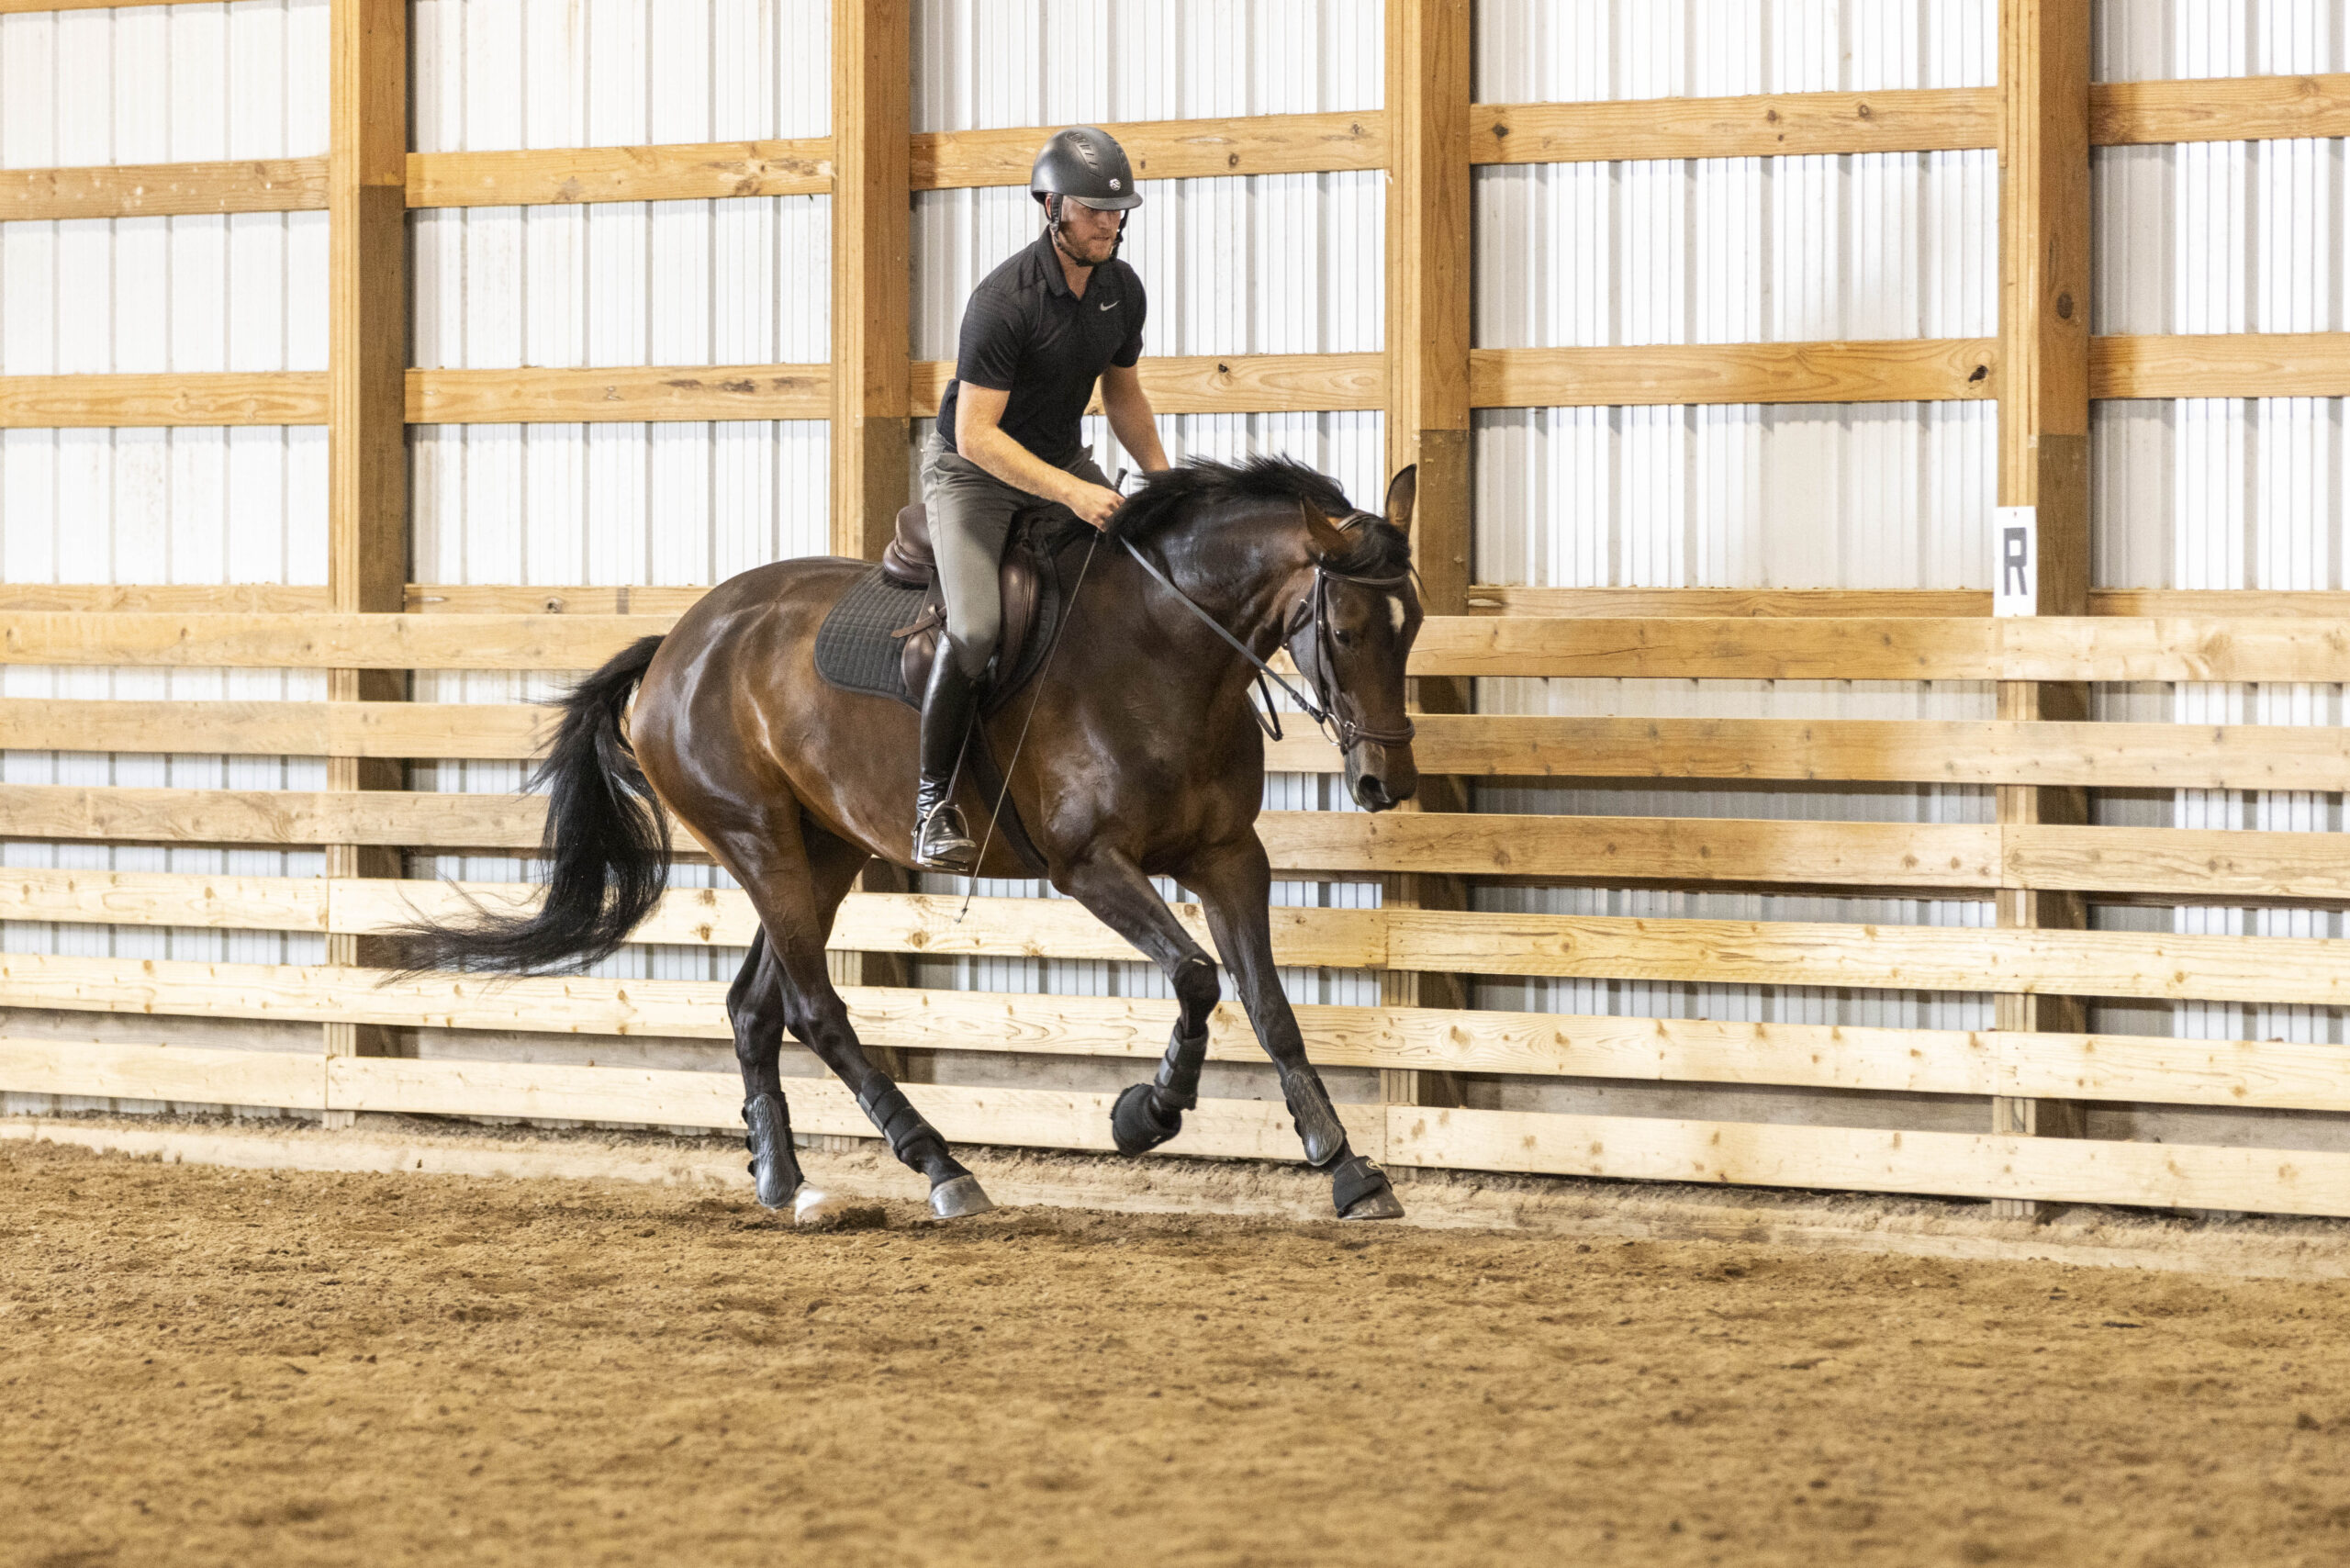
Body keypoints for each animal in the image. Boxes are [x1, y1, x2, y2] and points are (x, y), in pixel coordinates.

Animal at [399, 455, 1425, 1222]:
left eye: (1410, 626)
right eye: (1344, 628)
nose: (1388, 783)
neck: (1162, 649)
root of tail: (677, 646)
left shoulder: (1227, 857)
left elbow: (1269, 1007)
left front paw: (1346, 1168)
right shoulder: (1089, 865)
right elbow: (1197, 978)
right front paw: (1146, 1113)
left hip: (824, 851)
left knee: (754, 1006)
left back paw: (788, 1182)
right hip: (758, 839)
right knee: (815, 1008)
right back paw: (940, 1166)